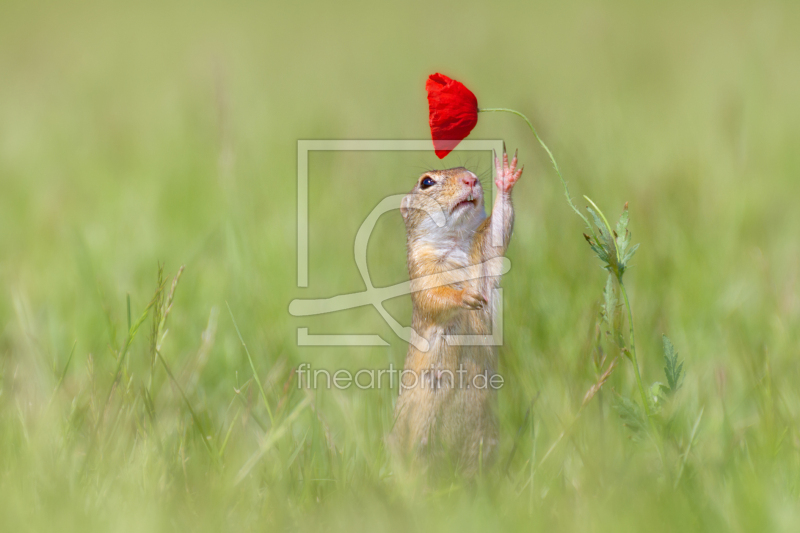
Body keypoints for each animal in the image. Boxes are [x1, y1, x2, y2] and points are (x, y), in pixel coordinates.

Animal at [390, 149, 524, 474]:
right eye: (426, 182)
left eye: (465, 168)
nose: (470, 179)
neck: (455, 244)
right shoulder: (422, 273)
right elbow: (434, 296)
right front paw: (466, 297)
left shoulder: (484, 252)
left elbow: (499, 228)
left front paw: (505, 176)